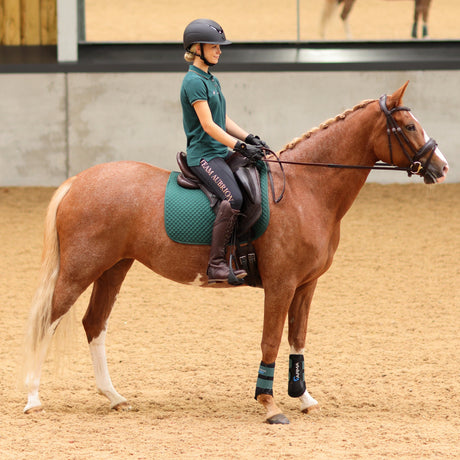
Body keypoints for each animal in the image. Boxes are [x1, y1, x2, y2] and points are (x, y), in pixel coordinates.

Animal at [23, 82, 448, 424]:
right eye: (410, 127)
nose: (441, 167)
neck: (306, 189)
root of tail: (78, 181)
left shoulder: (306, 285)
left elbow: (298, 339)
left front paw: (304, 397)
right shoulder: (281, 285)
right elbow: (271, 341)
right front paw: (270, 405)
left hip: (114, 267)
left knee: (94, 324)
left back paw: (114, 397)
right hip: (81, 269)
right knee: (48, 320)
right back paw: (33, 399)